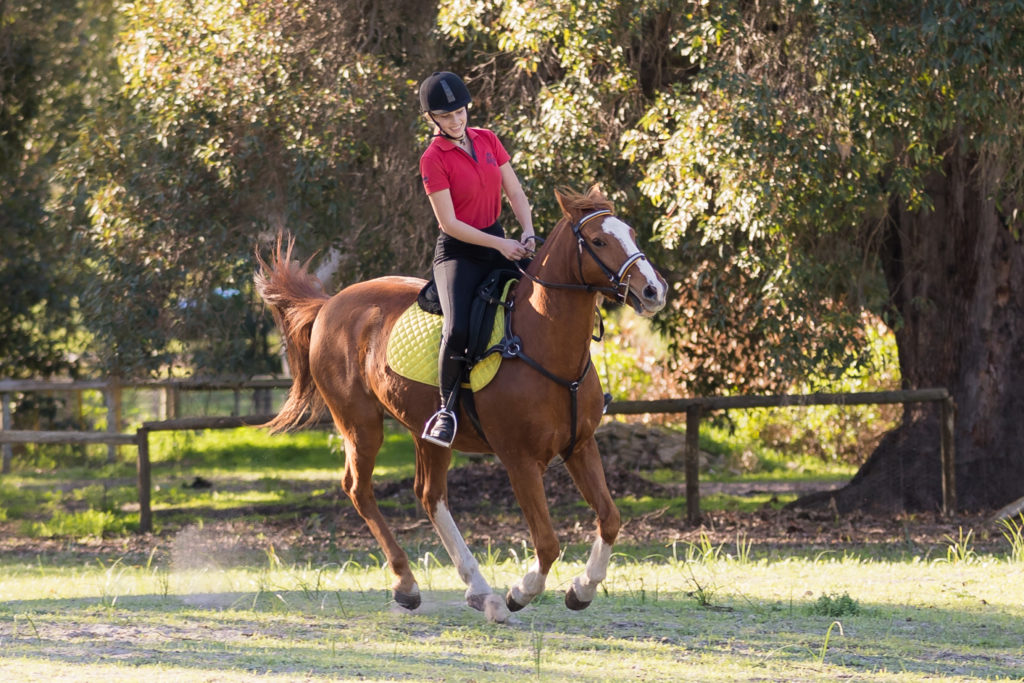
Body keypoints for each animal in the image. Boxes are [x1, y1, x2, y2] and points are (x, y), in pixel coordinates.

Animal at [256, 184, 667, 622]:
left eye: (631, 233)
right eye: (598, 241)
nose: (653, 290)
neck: (542, 341)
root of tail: (330, 304)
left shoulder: (581, 446)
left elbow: (610, 519)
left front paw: (582, 589)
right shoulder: (520, 460)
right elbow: (547, 542)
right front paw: (521, 592)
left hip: (426, 432)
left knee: (429, 494)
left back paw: (480, 591)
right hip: (360, 425)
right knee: (359, 488)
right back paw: (408, 584)